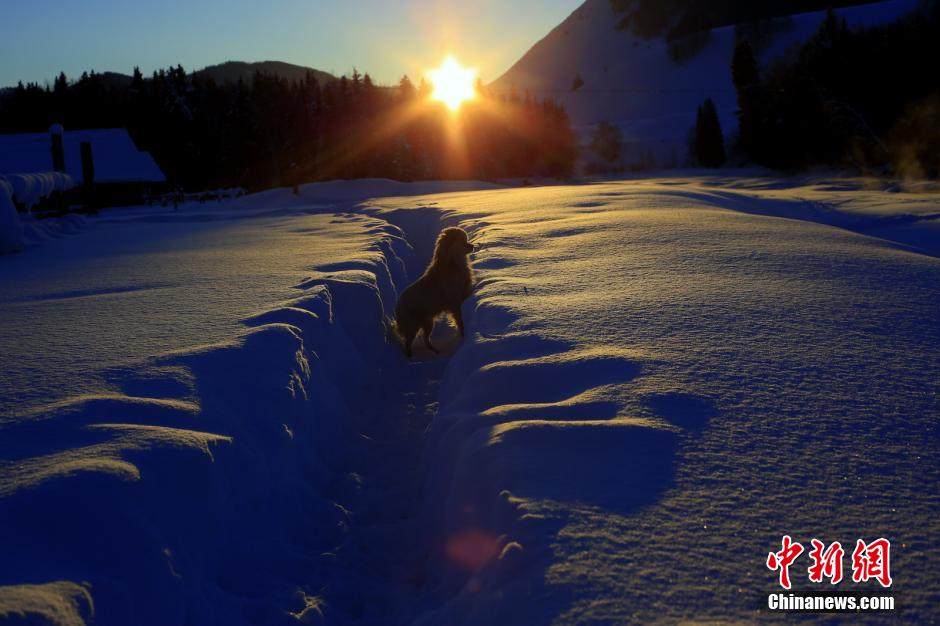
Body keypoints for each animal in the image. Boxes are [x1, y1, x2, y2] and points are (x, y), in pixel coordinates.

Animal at [392, 228, 474, 356]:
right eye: (463, 241)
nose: (473, 246)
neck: (453, 263)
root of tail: (397, 305)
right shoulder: (455, 302)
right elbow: (459, 321)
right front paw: (462, 334)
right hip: (413, 326)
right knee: (408, 343)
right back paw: (410, 356)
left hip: (428, 322)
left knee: (426, 339)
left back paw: (435, 351)